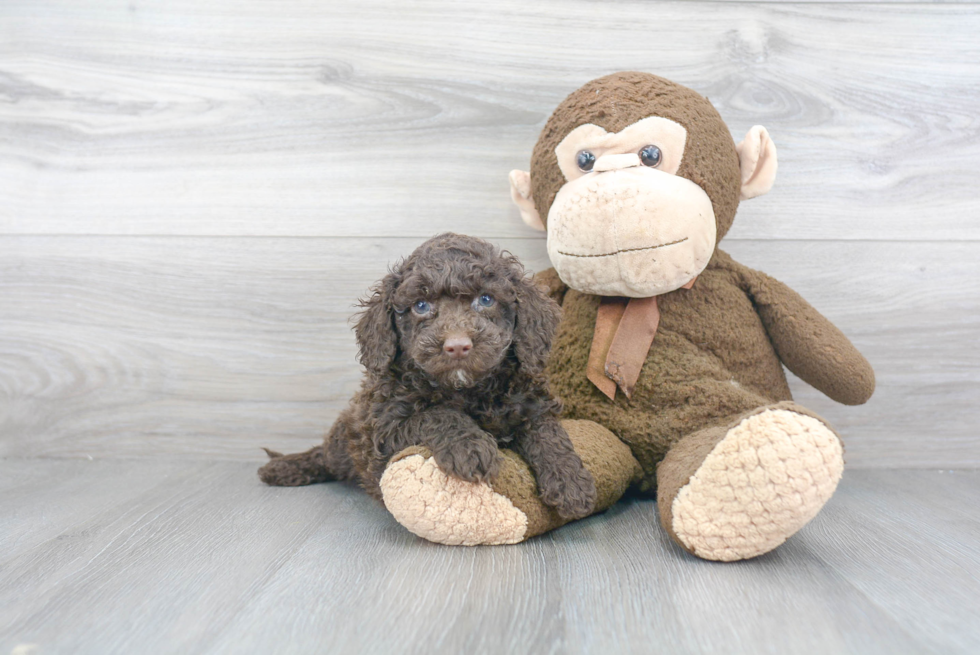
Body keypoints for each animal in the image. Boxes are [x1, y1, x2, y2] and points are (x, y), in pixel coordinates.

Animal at [258, 233, 596, 520]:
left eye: (486, 299)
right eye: (421, 306)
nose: (457, 346)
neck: (466, 389)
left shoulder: (531, 404)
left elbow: (549, 433)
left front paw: (571, 482)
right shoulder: (384, 428)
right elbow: (437, 414)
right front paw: (470, 447)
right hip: (347, 437)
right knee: (324, 456)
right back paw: (283, 468)